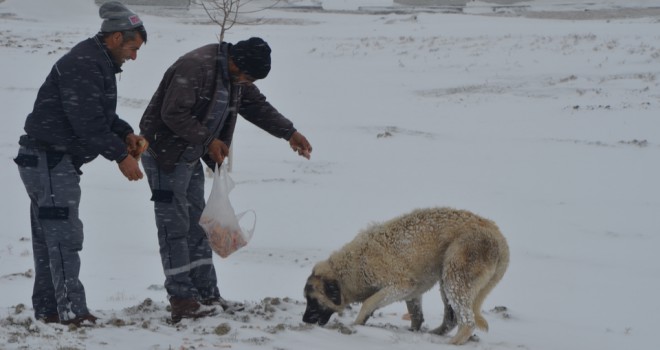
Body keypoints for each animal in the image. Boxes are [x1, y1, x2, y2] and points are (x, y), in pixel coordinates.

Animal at [302, 208, 510, 344]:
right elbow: (416, 315)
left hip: (456, 277)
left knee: (467, 322)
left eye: (313, 301)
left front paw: (358, 322)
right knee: (451, 318)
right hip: (448, 282)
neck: (352, 267)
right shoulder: (413, 291)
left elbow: (369, 302)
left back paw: (450, 344)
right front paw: (413, 331)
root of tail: (497, 235)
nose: (304, 320)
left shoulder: (401, 284)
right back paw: (436, 334)